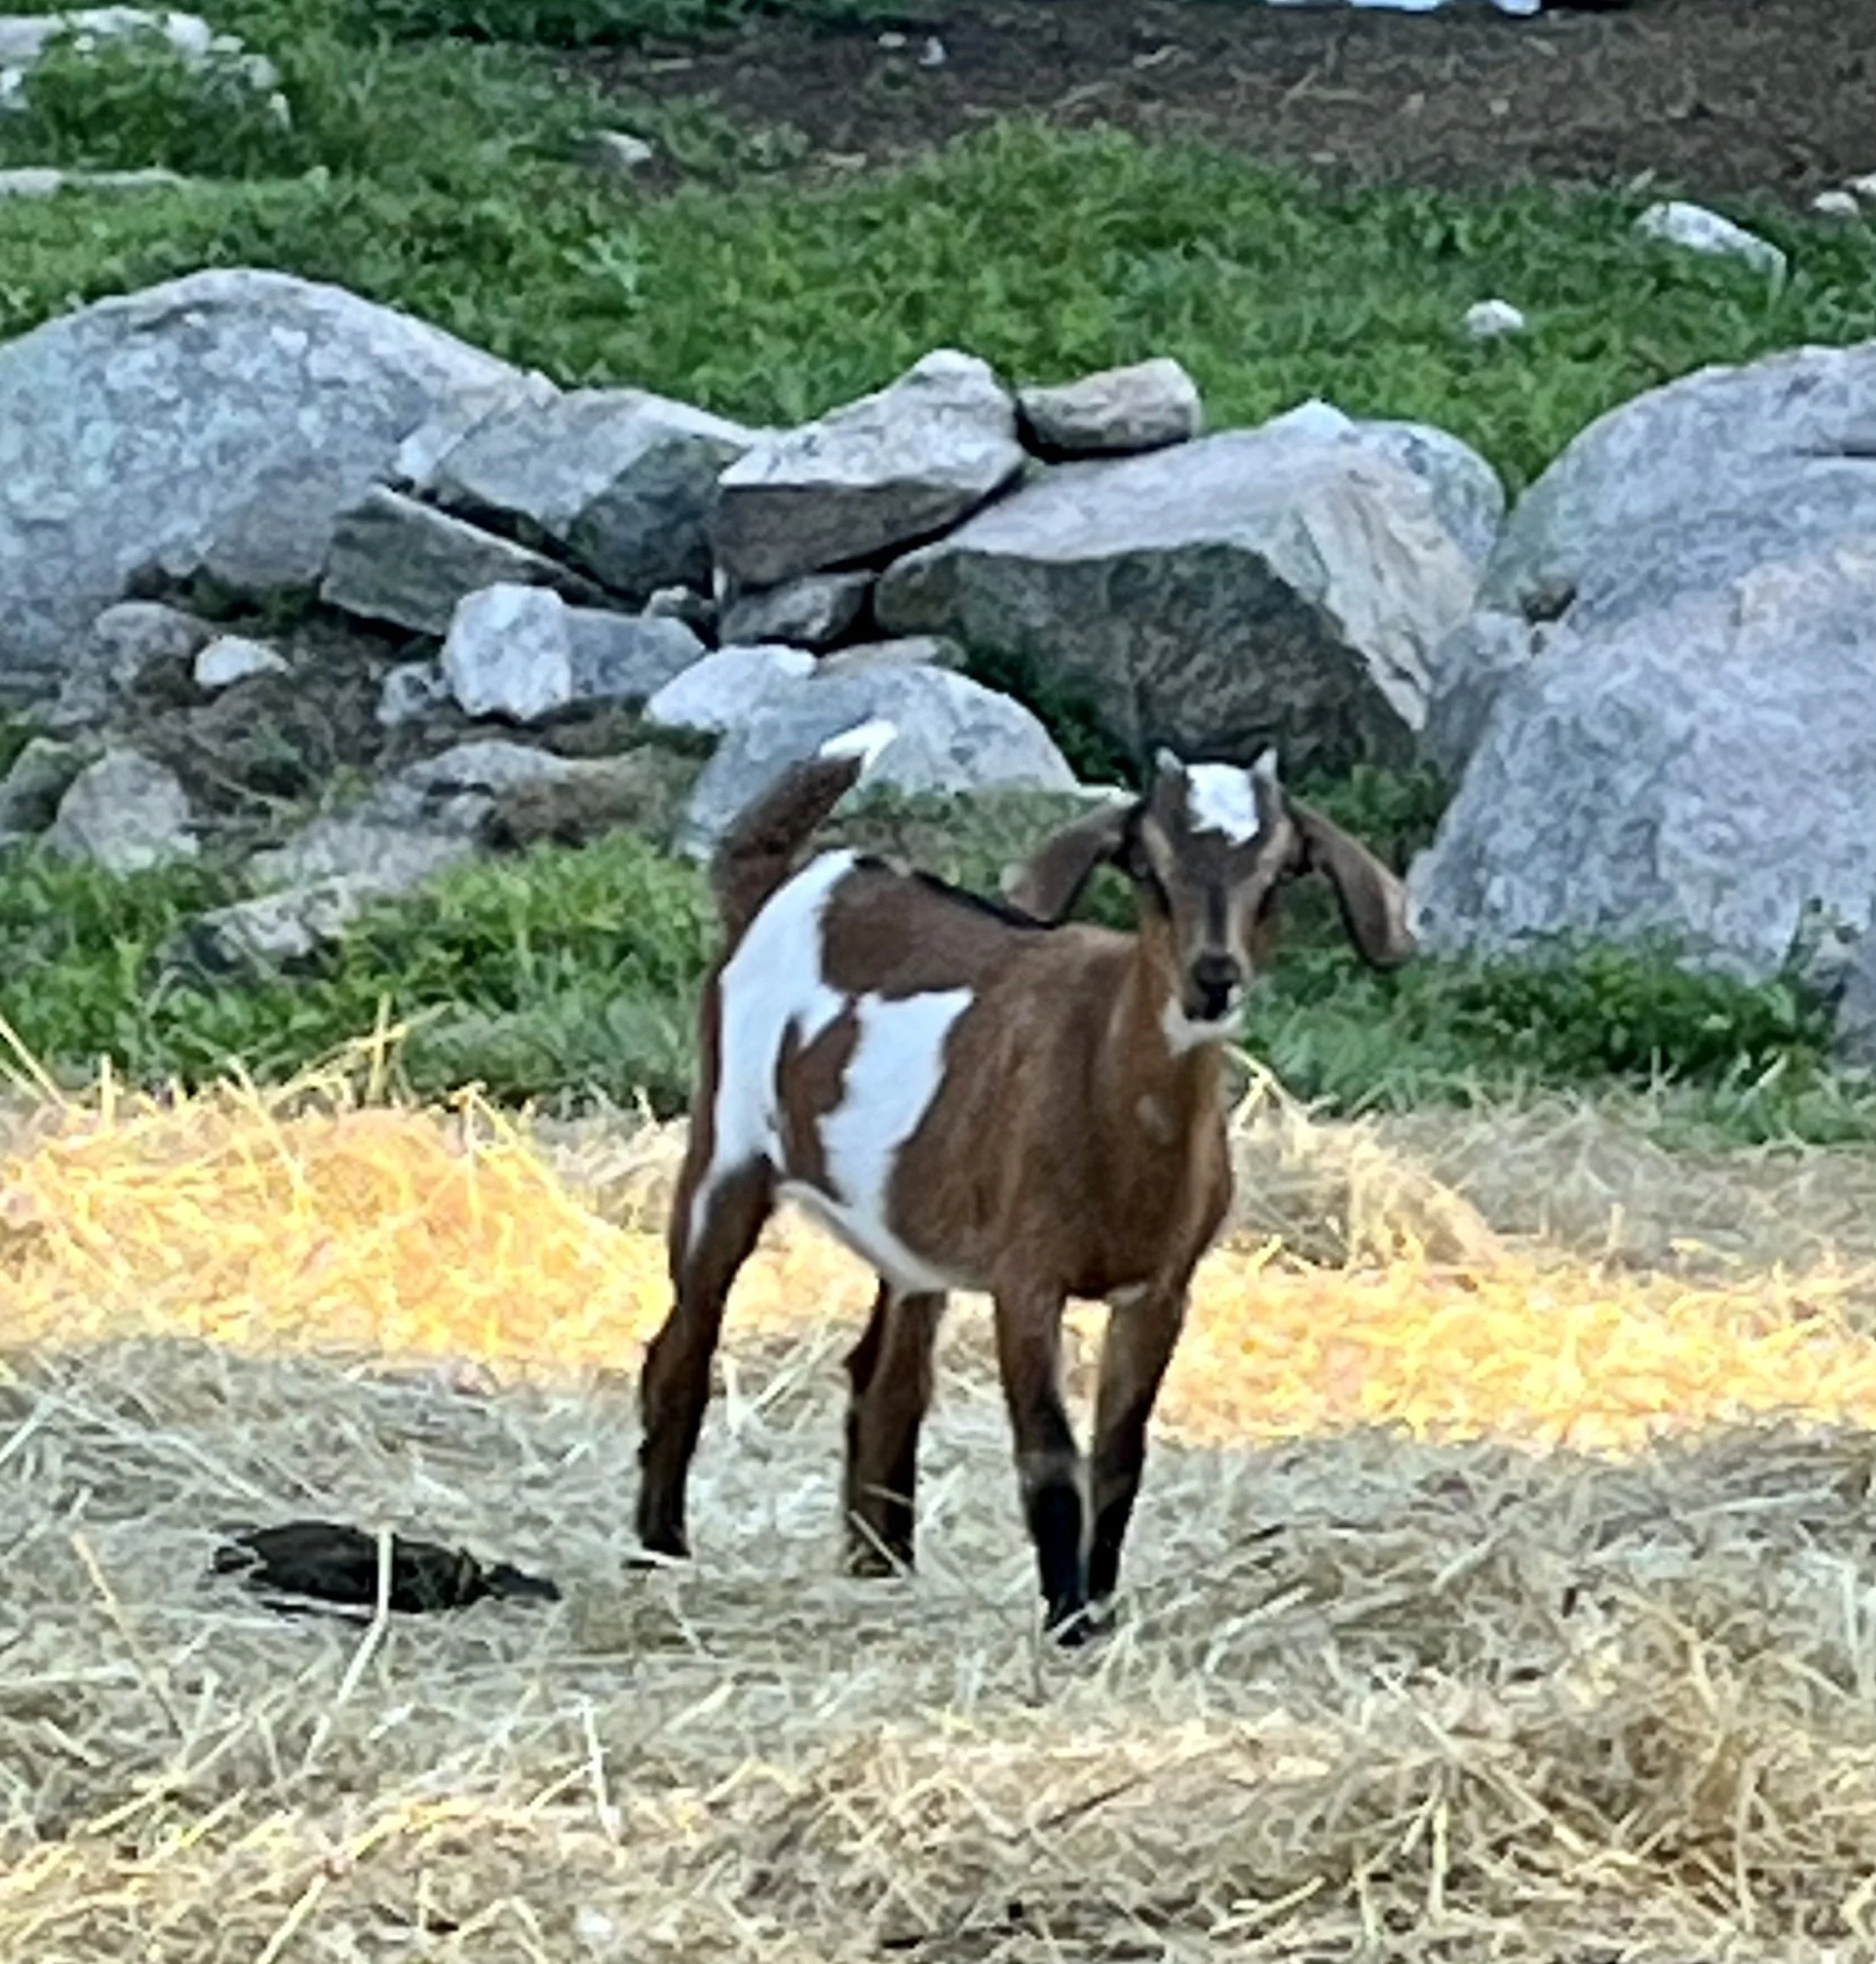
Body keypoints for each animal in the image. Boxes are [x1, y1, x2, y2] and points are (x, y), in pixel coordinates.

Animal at [633, 719, 1415, 1643]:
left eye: (1277, 876)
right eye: (1148, 869)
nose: (1214, 977)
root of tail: (785, 885)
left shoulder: (1160, 1290)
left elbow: (1119, 1458)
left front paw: (1099, 1609)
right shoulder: (1026, 1276)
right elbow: (1048, 1453)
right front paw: (1066, 1619)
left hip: (905, 1228)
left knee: (886, 1381)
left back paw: (883, 1571)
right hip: (726, 1148)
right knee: (683, 1346)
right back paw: (659, 1551)